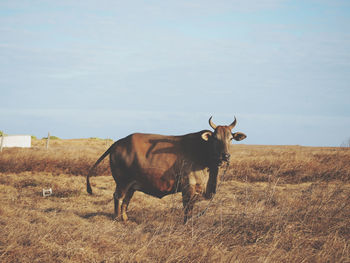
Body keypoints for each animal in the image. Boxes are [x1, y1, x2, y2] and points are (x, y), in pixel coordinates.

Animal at [87, 116, 246, 224]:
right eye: (215, 138)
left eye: (231, 138)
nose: (226, 155)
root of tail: (118, 143)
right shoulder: (188, 188)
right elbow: (187, 209)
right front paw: (186, 224)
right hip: (122, 182)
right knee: (118, 198)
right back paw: (117, 218)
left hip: (132, 184)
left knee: (126, 200)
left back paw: (125, 219)